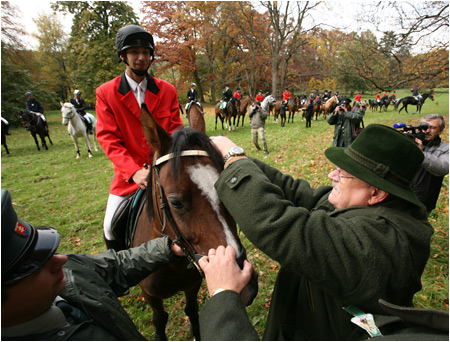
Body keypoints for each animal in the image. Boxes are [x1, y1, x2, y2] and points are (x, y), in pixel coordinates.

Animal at [134, 103, 256, 340]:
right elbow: (159, 320)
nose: (246, 286)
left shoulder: (192, 286)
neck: (171, 264)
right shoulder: (150, 296)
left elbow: (191, 311)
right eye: (176, 202)